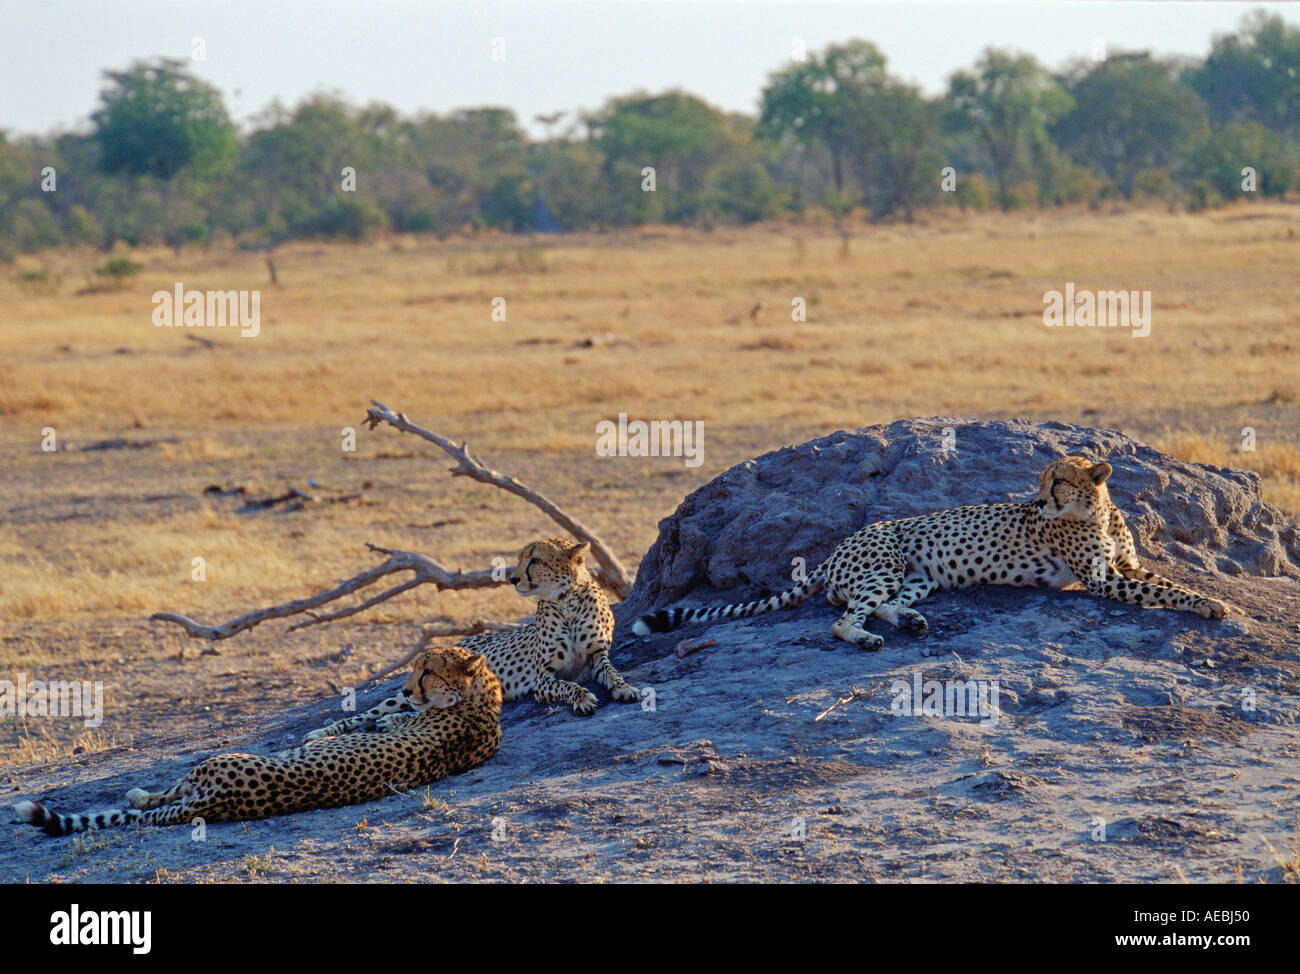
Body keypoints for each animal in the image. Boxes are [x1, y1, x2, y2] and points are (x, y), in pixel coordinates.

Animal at [12, 644, 499, 837]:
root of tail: (217, 801)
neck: (482, 698)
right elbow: (368, 721)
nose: (409, 689)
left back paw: (136, 794)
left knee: (160, 797)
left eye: (427, 670)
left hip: (210, 764)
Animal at [310, 533, 644, 738]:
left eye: (535, 560)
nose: (512, 579)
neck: (567, 601)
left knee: (423, 710)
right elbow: (567, 685)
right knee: (368, 714)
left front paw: (625, 688)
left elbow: (612, 672)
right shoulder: (543, 677)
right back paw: (322, 732)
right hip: (408, 693)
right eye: (520, 558)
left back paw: (390, 721)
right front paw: (583, 697)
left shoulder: (596, 656)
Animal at [634, 455, 1232, 650]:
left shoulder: (1125, 566)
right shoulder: (1106, 580)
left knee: (885, 603)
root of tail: (838, 546)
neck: (1098, 511)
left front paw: (1210, 600)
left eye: (1058, 481)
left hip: (919, 575)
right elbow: (1165, 591)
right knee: (843, 618)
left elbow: (1165, 582)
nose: (1037, 500)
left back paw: (912, 622)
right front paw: (1210, 605)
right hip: (886, 564)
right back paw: (868, 638)